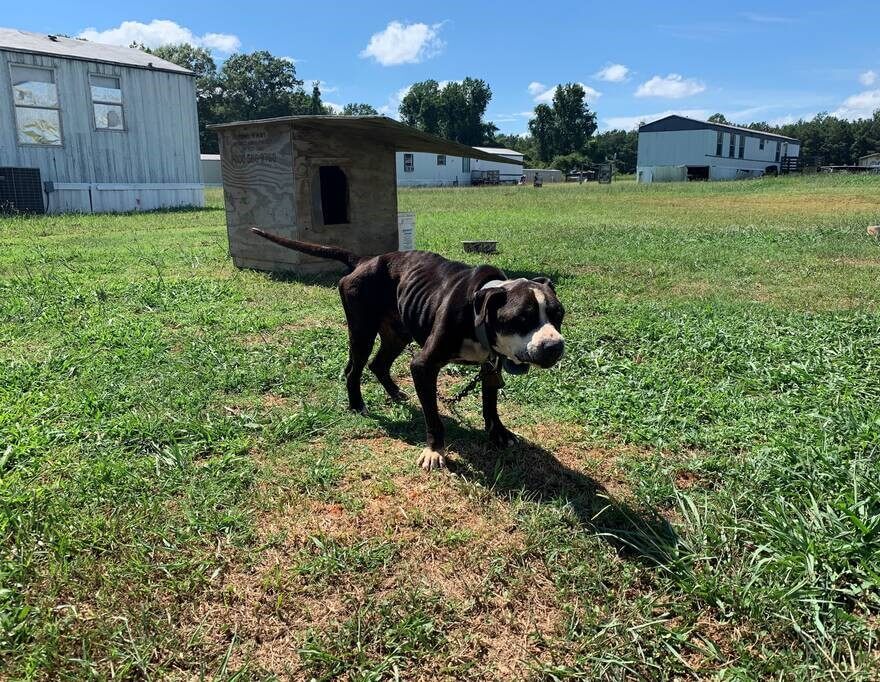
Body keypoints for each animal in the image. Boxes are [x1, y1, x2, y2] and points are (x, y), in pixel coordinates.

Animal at [249, 228, 564, 468]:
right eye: (521, 319)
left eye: (558, 314)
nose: (554, 346)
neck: (479, 308)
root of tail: (364, 260)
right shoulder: (423, 366)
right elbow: (433, 417)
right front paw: (434, 451)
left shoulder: (490, 366)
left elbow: (490, 404)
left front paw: (498, 432)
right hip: (362, 332)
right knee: (353, 369)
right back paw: (357, 404)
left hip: (397, 334)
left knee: (378, 364)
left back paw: (395, 394)